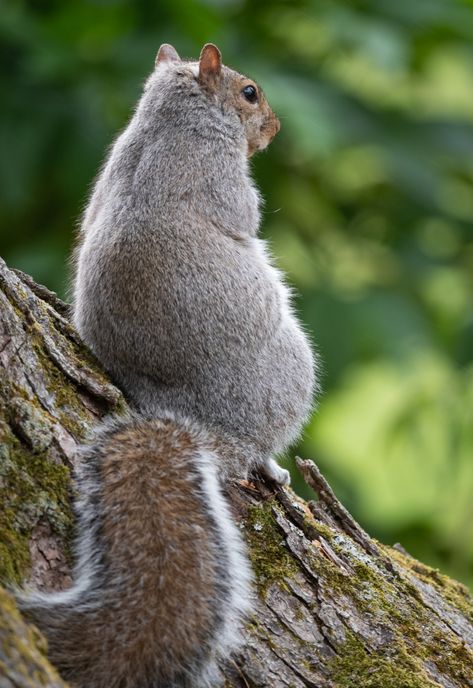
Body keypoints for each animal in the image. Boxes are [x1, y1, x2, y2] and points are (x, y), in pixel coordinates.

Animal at [16, 44, 316, 688]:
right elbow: (244, 216)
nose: (275, 128)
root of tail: (208, 428)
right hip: (291, 372)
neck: (168, 115)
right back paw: (271, 465)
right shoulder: (218, 171)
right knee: (258, 450)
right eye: (250, 93)